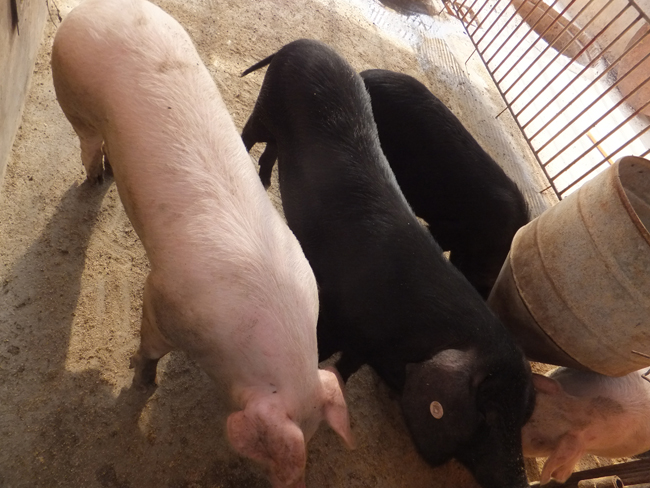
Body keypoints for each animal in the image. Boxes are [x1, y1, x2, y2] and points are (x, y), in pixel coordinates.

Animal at [51, 3, 353, 486]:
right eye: (271, 451)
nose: (292, 480)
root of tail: (88, 11)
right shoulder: (162, 300)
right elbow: (149, 349)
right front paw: (143, 385)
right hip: (72, 94)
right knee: (88, 143)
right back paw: (95, 181)